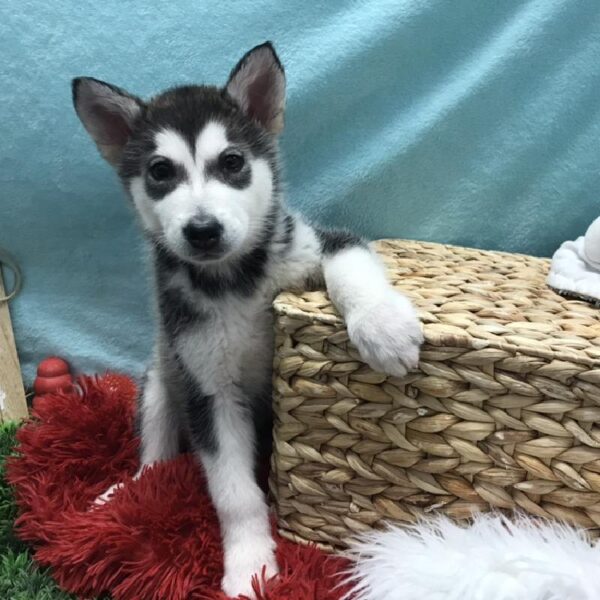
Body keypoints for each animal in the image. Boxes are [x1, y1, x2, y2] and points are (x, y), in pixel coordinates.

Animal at [72, 43, 424, 600]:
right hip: (162, 377)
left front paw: (382, 326)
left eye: (232, 162)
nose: (202, 230)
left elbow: (349, 267)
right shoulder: (209, 392)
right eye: (160, 171)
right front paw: (249, 565)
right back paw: (126, 492)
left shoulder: (324, 242)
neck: (232, 281)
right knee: (155, 459)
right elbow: (235, 494)